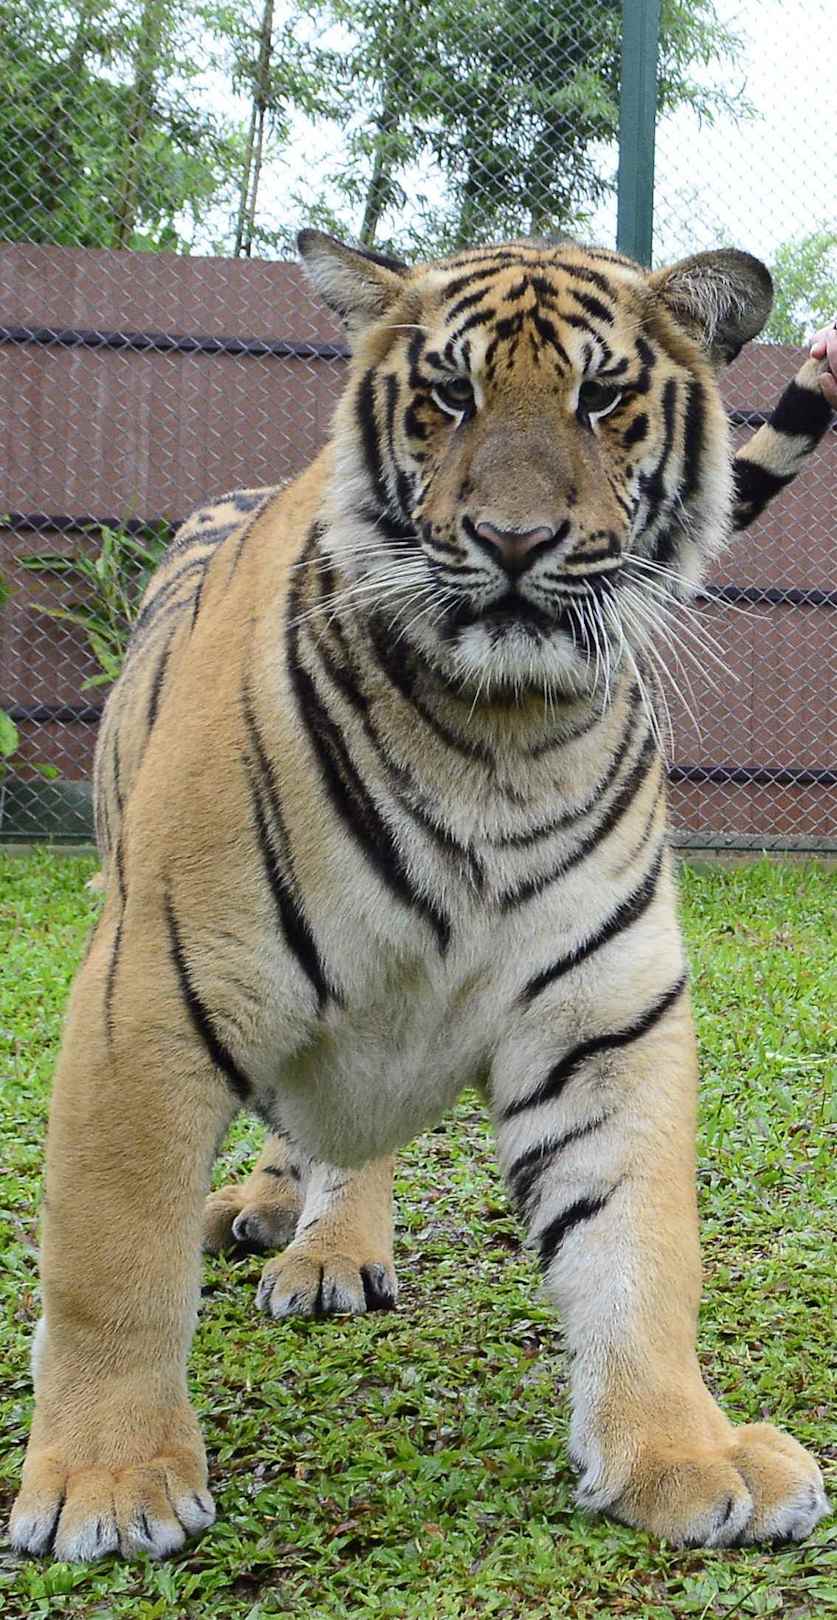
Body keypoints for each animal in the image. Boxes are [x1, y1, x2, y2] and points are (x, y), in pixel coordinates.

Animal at [10, 231, 834, 1563]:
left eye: (602, 398)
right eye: (448, 395)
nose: (514, 539)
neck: (499, 733)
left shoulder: (603, 1016)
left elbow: (638, 1245)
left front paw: (682, 1454)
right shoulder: (156, 991)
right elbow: (111, 1259)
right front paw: (107, 1482)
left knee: (343, 1136)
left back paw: (325, 1242)